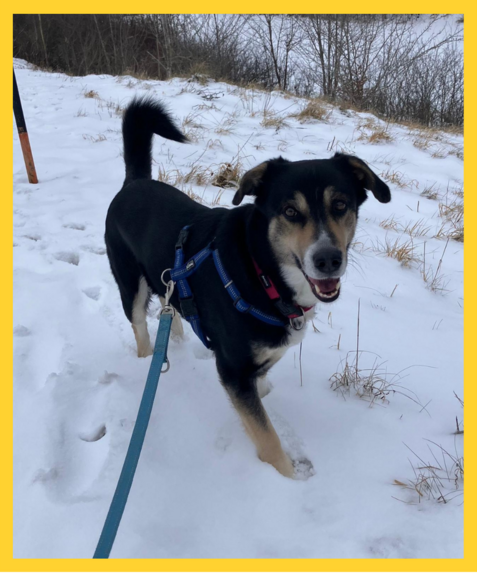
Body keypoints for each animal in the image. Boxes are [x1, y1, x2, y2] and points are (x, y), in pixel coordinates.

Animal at [105, 97, 391, 478]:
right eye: (289, 211)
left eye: (341, 205)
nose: (328, 259)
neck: (263, 272)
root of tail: (134, 183)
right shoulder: (234, 371)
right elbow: (267, 436)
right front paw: (289, 478)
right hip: (129, 283)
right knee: (139, 323)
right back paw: (148, 356)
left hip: (166, 280)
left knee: (171, 308)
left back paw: (175, 338)